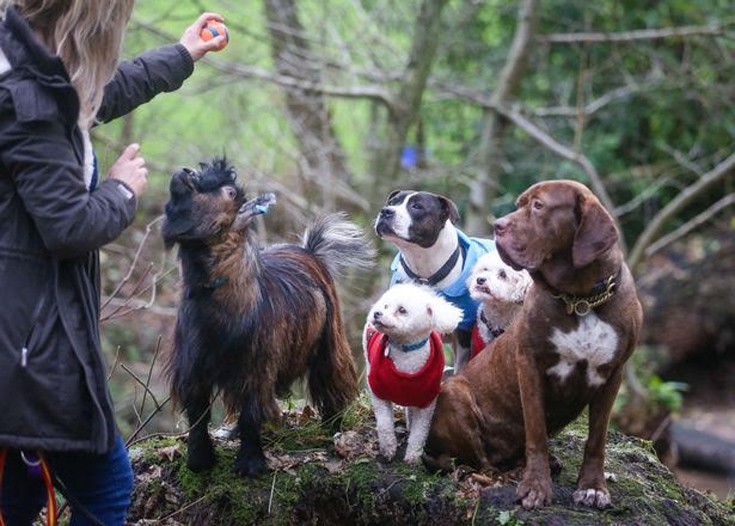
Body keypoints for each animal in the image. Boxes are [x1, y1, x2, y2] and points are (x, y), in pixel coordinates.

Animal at [162, 158, 374, 478]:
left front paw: (250, 463)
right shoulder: (192, 367)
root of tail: (310, 251)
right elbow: (197, 412)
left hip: (331, 342)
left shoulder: (256, 366)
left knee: (332, 383)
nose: (184, 173)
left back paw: (332, 429)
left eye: (228, 192)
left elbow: (252, 411)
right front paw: (199, 461)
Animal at [366, 284, 462, 466]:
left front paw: (413, 457)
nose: (376, 313)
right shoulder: (378, 392)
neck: (406, 351)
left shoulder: (427, 401)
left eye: (402, 310)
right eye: (386, 306)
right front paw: (388, 449)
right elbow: (384, 423)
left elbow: (420, 431)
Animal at [374, 190, 494, 372]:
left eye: (417, 206)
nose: (386, 211)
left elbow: (460, 365)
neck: (423, 268)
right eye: (392, 202)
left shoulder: (463, 331)